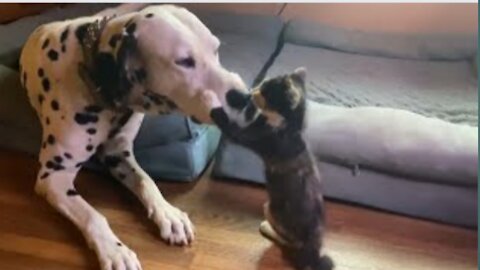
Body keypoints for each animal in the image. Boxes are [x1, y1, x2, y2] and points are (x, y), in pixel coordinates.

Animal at [18, 4, 246, 270]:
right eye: (184, 62)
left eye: (216, 49)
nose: (245, 98)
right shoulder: (53, 176)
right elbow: (93, 215)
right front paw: (115, 251)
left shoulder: (119, 155)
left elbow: (147, 181)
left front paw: (168, 213)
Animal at [202, 68, 334, 270]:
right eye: (263, 84)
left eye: (265, 92)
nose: (255, 89)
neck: (288, 125)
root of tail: (315, 242)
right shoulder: (258, 120)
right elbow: (250, 110)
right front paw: (237, 95)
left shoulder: (253, 135)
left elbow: (231, 125)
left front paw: (213, 102)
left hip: (273, 209)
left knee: (291, 241)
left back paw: (267, 228)